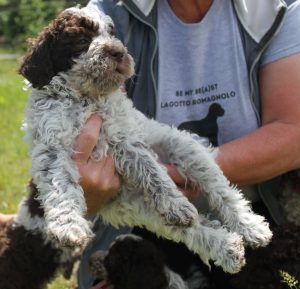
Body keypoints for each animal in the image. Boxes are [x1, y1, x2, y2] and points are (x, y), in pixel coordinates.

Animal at [18, 6, 272, 272]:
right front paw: (68, 226)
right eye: (81, 41)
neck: (85, 98)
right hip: (137, 206)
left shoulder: (124, 138)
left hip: (186, 148)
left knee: (223, 192)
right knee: (192, 228)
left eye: (112, 34)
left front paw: (176, 203)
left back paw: (250, 227)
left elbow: (152, 173)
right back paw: (227, 247)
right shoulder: (52, 147)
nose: (118, 52)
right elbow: (61, 187)